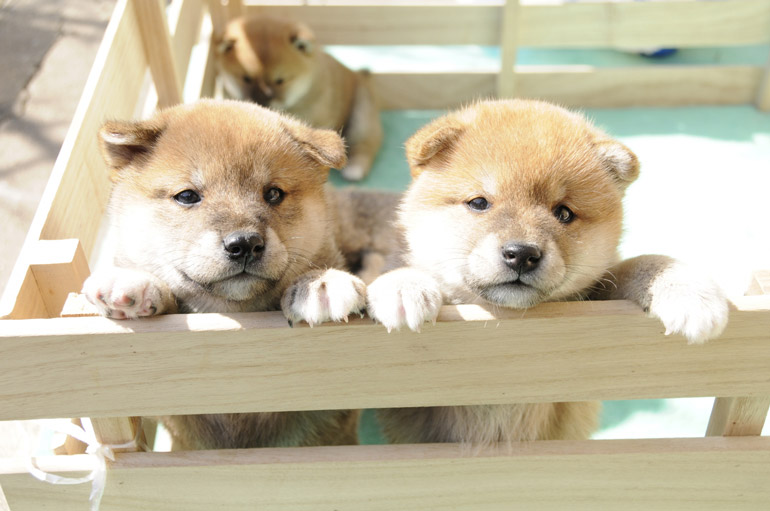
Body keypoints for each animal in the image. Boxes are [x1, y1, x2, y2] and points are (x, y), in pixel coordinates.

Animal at [216, 16, 380, 182]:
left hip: (361, 115)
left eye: (280, 81)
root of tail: (358, 75)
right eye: (246, 79)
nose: (261, 100)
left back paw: (355, 168)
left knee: (367, 143)